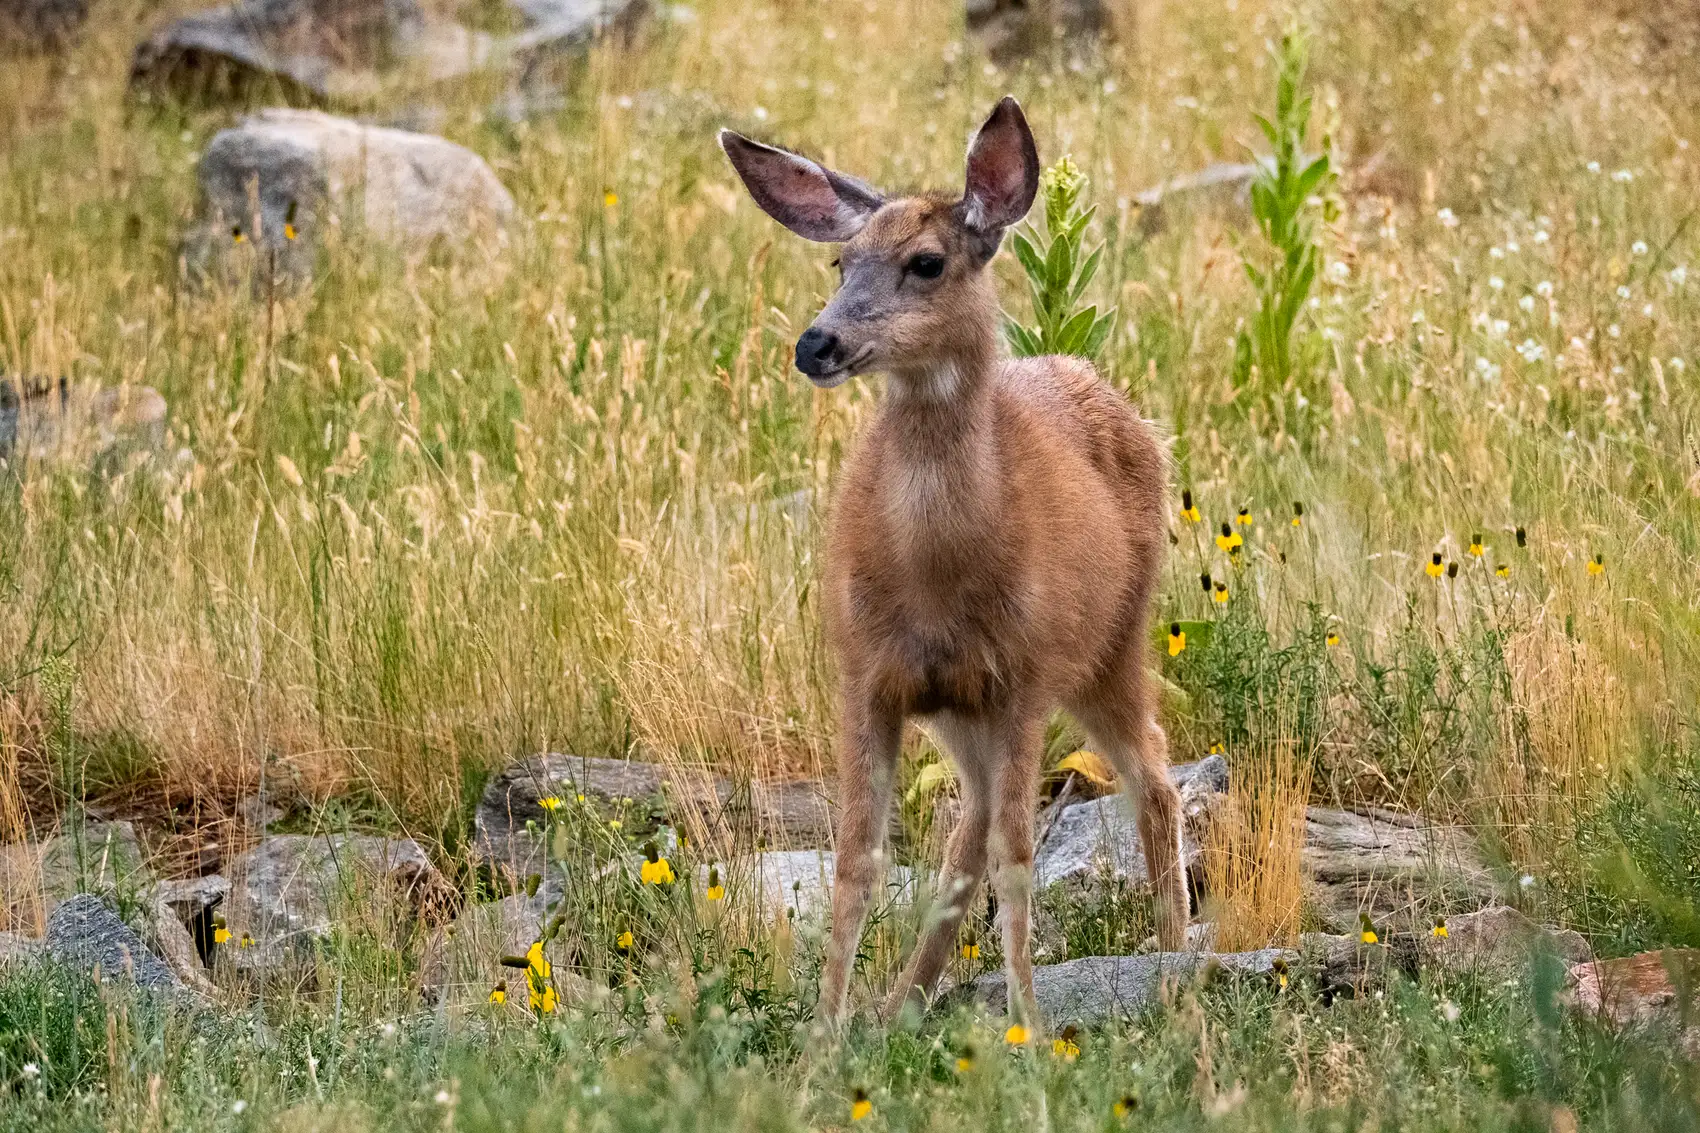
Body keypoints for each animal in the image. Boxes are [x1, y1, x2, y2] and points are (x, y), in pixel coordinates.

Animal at [719, 96, 1187, 1030]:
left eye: (926, 263)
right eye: (841, 260)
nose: (816, 344)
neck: (934, 578)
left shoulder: (1025, 677)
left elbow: (1019, 858)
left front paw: (1030, 1027)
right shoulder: (866, 671)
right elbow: (856, 860)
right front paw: (825, 1031)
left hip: (1110, 642)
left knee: (1153, 777)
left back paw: (1180, 963)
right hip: (964, 708)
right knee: (969, 821)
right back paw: (901, 999)